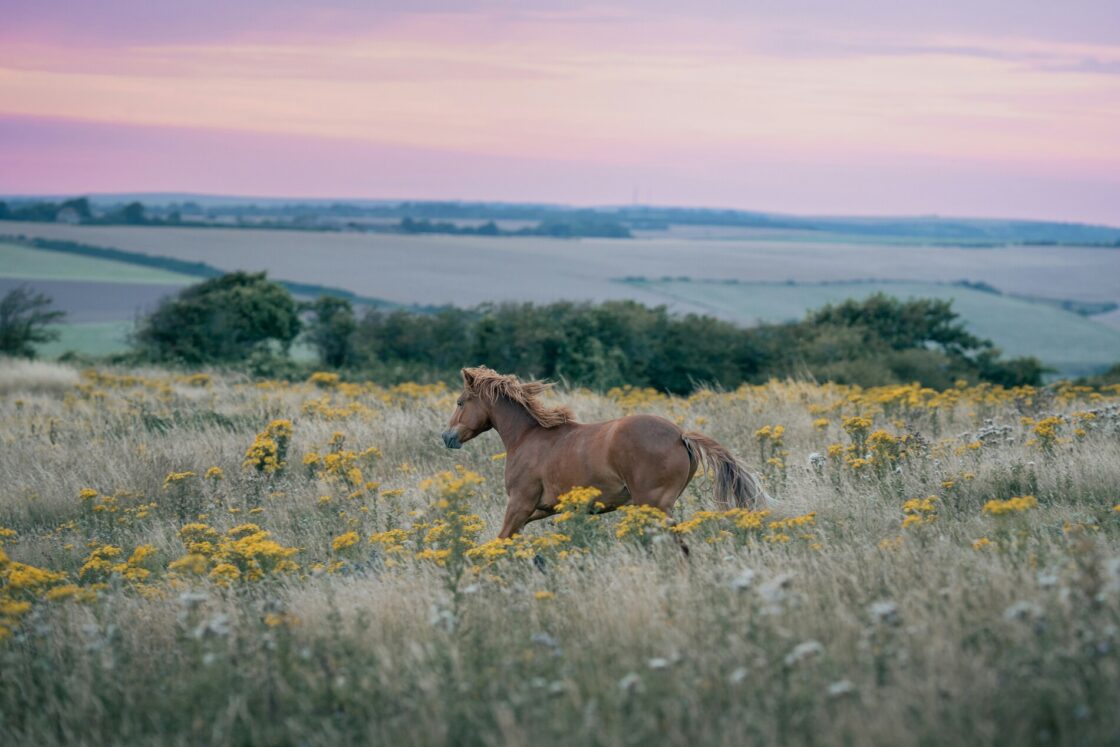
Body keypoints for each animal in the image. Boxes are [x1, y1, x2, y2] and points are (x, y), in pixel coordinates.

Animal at [441, 366, 772, 539]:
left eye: (460, 402)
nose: (446, 436)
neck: (527, 437)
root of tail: (681, 435)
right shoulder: (542, 508)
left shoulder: (519, 503)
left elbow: (503, 538)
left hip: (653, 504)